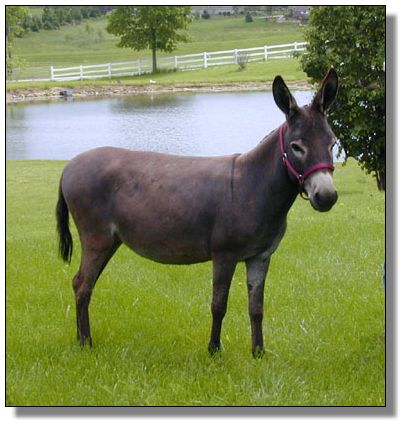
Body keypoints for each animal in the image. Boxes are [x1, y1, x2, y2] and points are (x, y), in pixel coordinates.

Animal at [56, 68, 339, 357]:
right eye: (296, 147)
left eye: (332, 144)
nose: (327, 196)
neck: (253, 184)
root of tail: (69, 166)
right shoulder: (224, 255)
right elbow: (219, 305)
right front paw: (214, 350)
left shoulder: (260, 256)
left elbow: (256, 308)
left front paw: (258, 353)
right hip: (97, 238)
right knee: (83, 285)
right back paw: (86, 343)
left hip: (111, 241)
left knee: (80, 283)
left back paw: (80, 339)